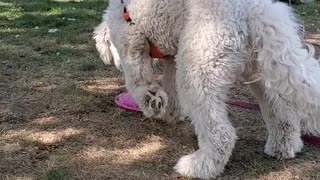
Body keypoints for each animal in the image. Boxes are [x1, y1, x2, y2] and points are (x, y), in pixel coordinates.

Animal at [94, 0, 320, 179]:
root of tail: (254, 11)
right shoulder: (172, 61)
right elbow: (171, 90)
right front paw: (170, 113)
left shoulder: (131, 42)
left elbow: (137, 80)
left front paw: (152, 101)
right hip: (261, 72)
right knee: (283, 112)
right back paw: (284, 147)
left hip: (197, 70)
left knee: (222, 134)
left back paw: (199, 167)